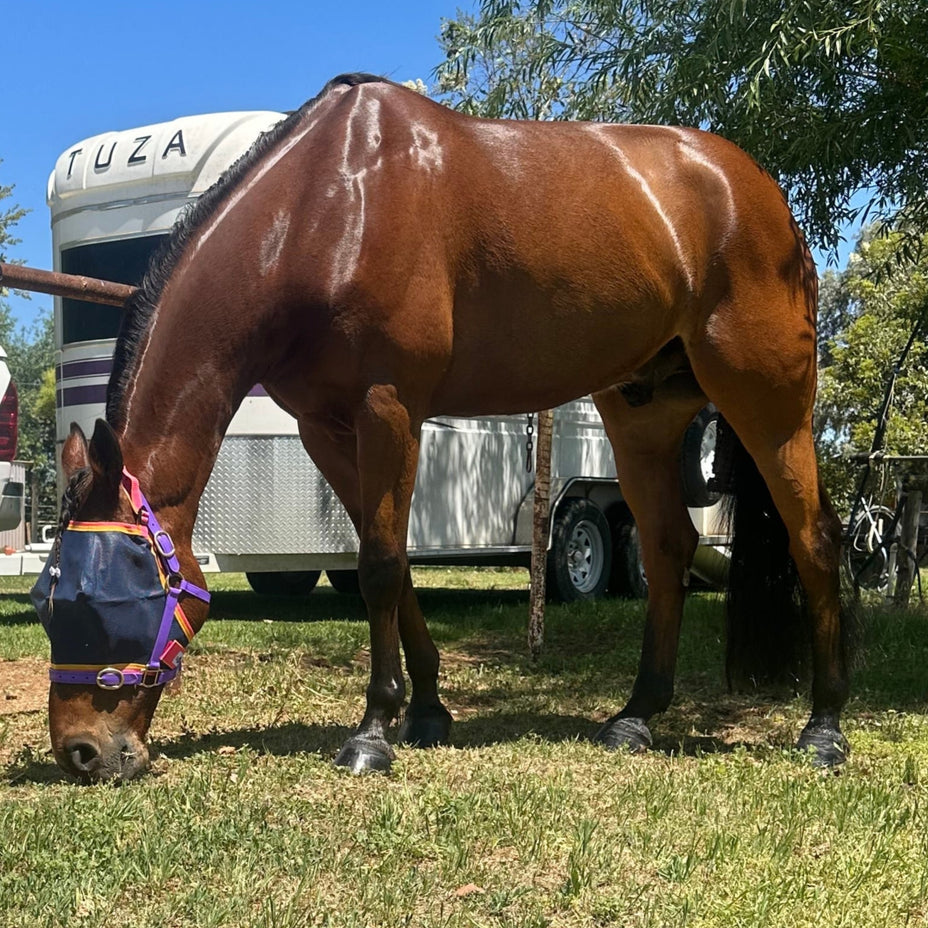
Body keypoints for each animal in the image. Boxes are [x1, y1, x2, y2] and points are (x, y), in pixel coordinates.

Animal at [32, 73, 850, 782]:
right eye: (45, 602)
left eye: (106, 600)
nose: (81, 753)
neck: (324, 209)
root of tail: (759, 192)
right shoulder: (327, 428)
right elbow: (389, 564)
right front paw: (425, 710)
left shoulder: (388, 408)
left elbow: (380, 566)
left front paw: (372, 732)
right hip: (642, 411)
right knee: (670, 545)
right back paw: (637, 716)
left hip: (768, 396)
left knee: (815, 536)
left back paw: (824, 728)